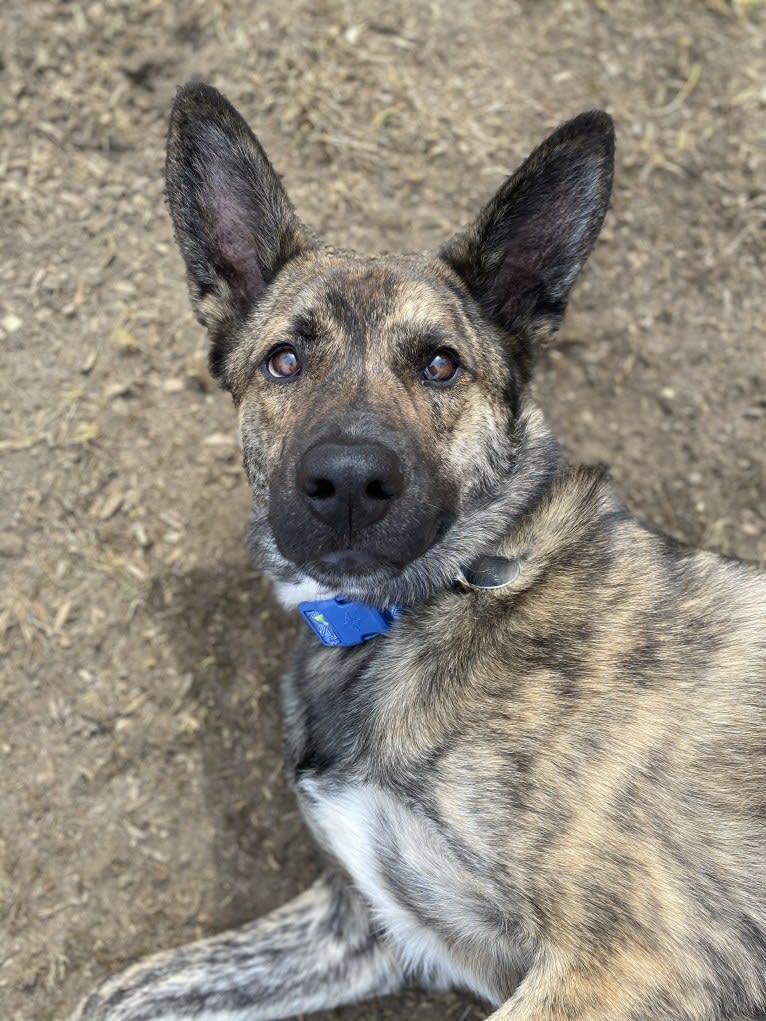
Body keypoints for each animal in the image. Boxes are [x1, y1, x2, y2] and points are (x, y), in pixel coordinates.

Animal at [73, 85, 766, 1021]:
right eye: (283, 360)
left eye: (441, 365)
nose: (348, 482)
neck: (430, 603)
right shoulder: (360, 921)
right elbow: (114, 993)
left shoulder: (632, 958)